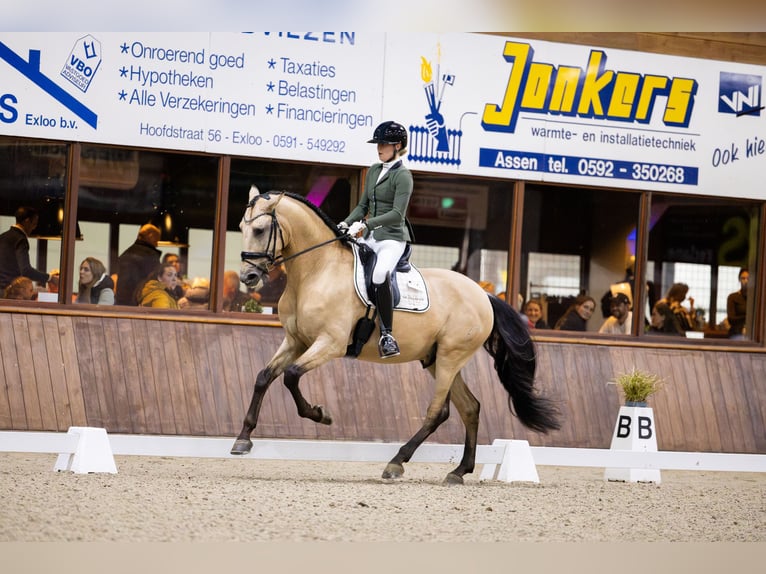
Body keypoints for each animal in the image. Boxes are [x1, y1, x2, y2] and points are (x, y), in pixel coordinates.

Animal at [232, 186, 561, 484]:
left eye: (260, 229)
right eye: (241, 229)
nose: (248, 277)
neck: (316, 271)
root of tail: (483, 295)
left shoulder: (330, 344)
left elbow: (291, 376)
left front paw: (320, 414)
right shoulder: (295, 341)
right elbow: (264, 376)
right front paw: (243, 439)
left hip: (451, 357)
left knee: (437, 412)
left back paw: (396, 463)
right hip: (437, 359)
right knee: (469, 408)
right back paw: (458, 472)